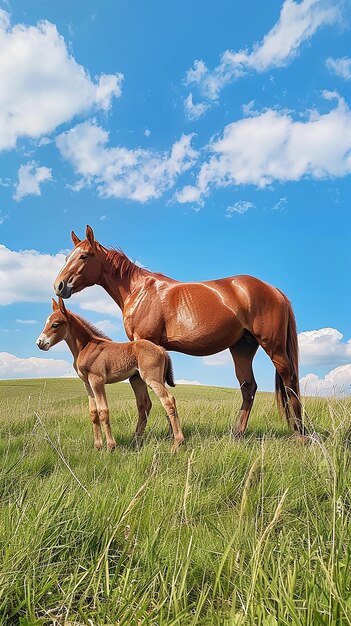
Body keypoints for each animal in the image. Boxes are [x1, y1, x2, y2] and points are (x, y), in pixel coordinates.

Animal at [36, 296, 184, 448]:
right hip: (137, 380)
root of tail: (161, 349)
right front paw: (98, 446)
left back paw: (177, 442)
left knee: (168, 401)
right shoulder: (87, 383)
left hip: (152, 379)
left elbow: (103, 410)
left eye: (55, 324)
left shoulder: (97, 380)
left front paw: (110, 446)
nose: (39, 343)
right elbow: (93, 412)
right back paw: (138, 441)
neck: (85, 346)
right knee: (145, 405)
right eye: (46, 323)